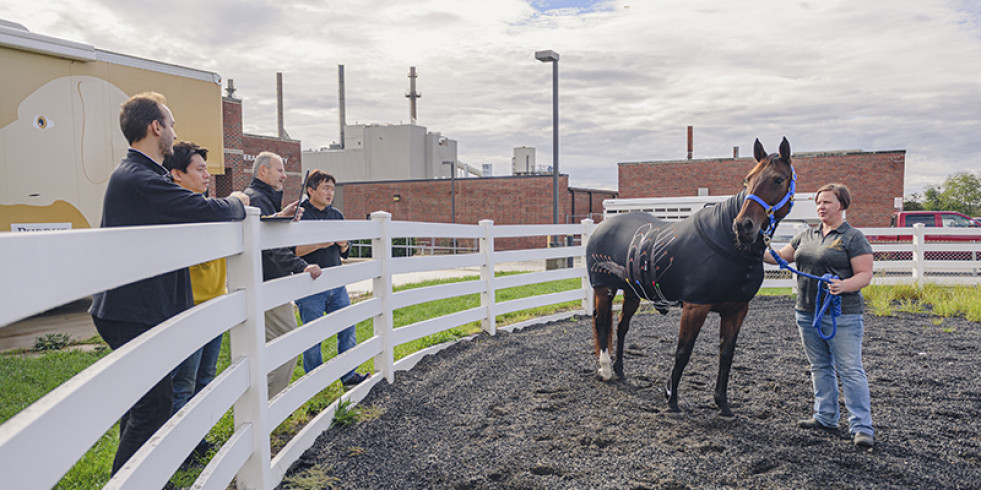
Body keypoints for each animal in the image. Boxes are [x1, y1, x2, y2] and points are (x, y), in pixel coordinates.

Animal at [584, 137, 792, 418]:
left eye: (778, 179)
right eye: (747, 180)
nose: (743, 226)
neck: (727, 242)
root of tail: (602, 227)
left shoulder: (737, 310)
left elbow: (727, 354)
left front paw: (723, 404)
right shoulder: (695, 306)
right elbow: (683, 351)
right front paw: (671, 400)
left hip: (631, 293)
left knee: (620, 326)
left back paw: (619, 370)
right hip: (603, 289)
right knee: (601, 322)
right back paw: (605, 369)